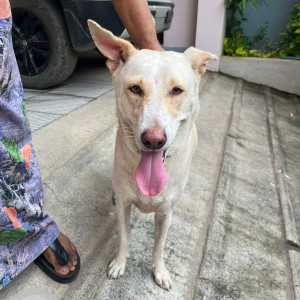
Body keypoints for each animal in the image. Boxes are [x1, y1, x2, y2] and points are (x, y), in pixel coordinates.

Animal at [88, 19, 217, 290]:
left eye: (177, 90)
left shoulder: (165, 213)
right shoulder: (124, 205)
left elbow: (159, 247)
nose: (154, 140)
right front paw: (119, 263)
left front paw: (160, 271)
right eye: (135, 88)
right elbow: (124, 238)